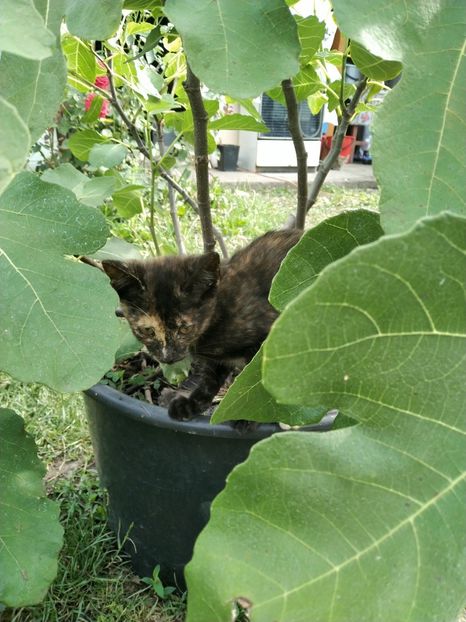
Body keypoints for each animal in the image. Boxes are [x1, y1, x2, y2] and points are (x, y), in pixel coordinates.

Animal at [102, 230, 300, 424]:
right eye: (148, 331)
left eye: (184, 329)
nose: (168, 357)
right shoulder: (215, 360)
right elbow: (209, 382)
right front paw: (191, 405)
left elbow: (258, 383)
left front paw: (250, 417)